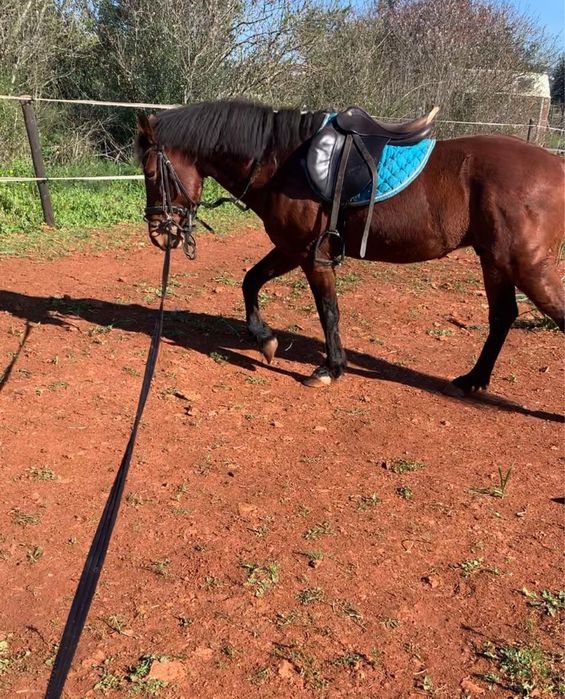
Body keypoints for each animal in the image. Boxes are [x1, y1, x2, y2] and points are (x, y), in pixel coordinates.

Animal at [136, 99, 564, 391]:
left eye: (152, 172)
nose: (158, 230)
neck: (283, 163)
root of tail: (557, 165)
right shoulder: (291, 249)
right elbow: (250, 281)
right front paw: (265, 340)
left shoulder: (313, 256)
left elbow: (328, 312)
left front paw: (330, 368)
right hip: (495, 261)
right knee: (503, 316)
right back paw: (474, 379)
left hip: (526, 266)